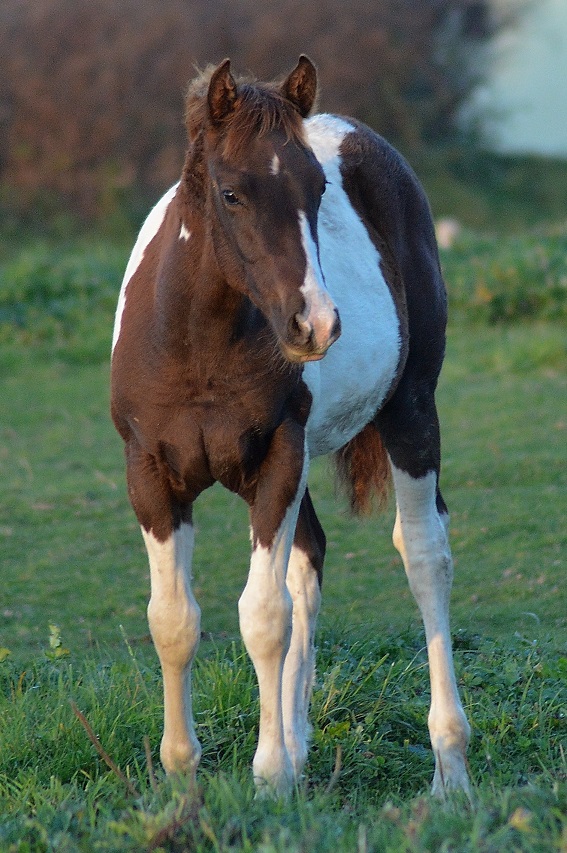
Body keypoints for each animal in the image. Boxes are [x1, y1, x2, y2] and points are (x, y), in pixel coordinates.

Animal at [110, 56, 470, 796]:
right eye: (231, 194)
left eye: (317, 190)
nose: (317, 324)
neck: (197, 349)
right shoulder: (150, 476)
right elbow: (173, 619)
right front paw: (184, 775)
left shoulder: (277, 459)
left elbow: (262, 615)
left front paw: (270, 776)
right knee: (309, 562)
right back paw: (303, 743)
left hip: (410, 412)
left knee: (424, 556)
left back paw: (450, 769)